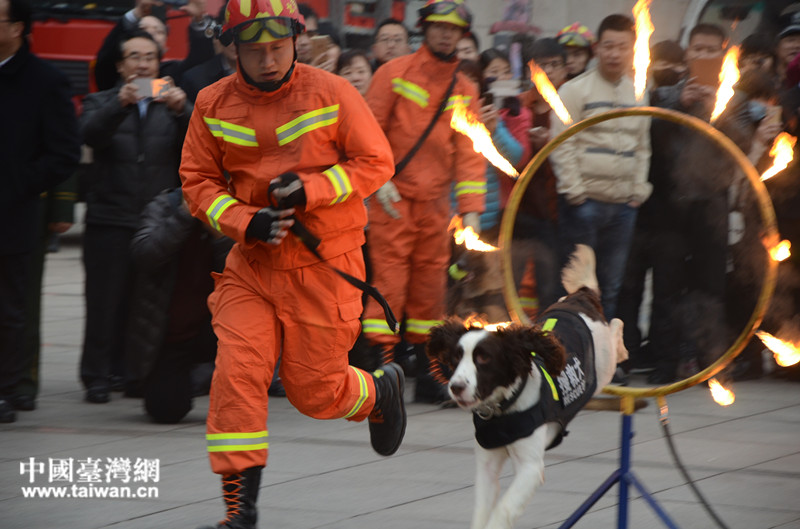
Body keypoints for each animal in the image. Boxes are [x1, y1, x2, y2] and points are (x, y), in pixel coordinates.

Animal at [428, 245, 628, 528]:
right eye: (456, 358)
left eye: (484, 358)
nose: (455, 387)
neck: (503, 408)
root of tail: (580, 297)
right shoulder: (487, 463)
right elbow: (482, 508)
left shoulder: (531, 467)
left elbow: (504, 509)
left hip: (603, 363)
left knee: (616, 327)